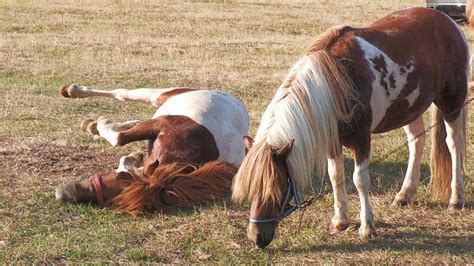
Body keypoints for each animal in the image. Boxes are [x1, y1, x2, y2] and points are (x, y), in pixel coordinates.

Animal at [55, 84, 248, 216]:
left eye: (119, 181)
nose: (63, 195)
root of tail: (232, 99)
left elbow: (120, 141)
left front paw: (131, 156)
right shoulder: (158, 124)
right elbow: (121, 138)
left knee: (125, 103)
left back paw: (94, 123)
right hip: (161, 97)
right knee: (123, 94)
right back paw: (74, 92)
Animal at [231, 8, 468, 249]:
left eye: (276, 190)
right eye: (249, 189)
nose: (256, 237)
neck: (335, 84)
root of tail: (448, 21)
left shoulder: (361, 140)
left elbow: (360, 180)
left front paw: (367, 227)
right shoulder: (332, 141)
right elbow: (336, 176)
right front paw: (340, 221)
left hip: (451, 103)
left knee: (454, 145)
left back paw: (456, 198)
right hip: (411, 108)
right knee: (417, 143)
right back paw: (405, 194)